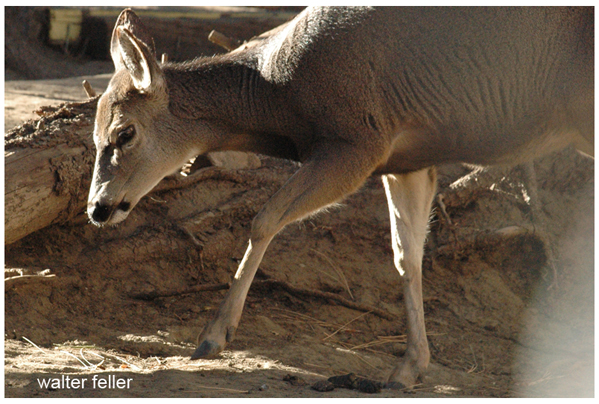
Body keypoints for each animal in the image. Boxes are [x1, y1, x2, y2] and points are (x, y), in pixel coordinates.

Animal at [86, 5, 592, 386]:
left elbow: (265, 218)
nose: (97, 208)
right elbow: (406, 254)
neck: (279, 96)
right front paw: (408, 368)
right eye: (94, 136)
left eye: (124, 132)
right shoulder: (405, 159)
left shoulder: (357, 142)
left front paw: (212, 336)